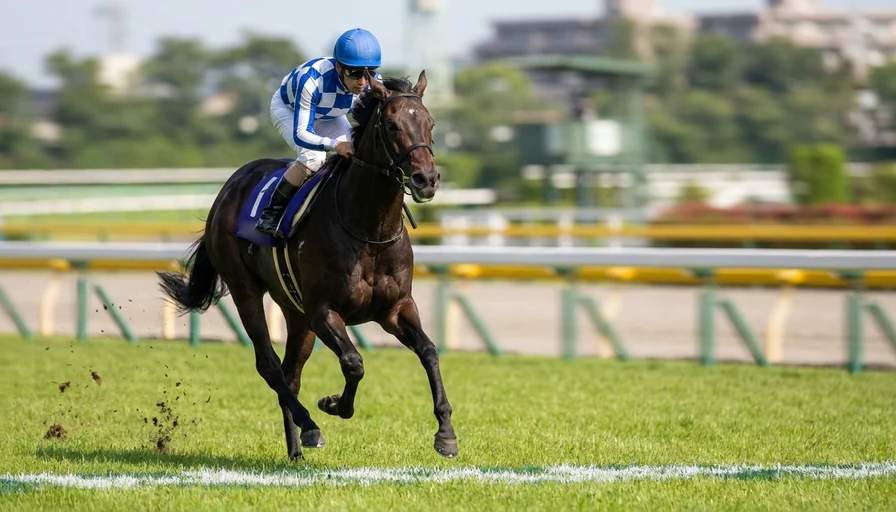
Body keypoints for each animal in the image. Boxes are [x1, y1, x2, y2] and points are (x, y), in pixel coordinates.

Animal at [157, 71, 458, 460]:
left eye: (430, 123)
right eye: (392, 125)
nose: (427, 180)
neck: (369, 228)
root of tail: (229, 187)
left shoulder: (395, 309)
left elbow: (429, 352)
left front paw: (446, 433)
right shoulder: (324, 310)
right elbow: (354, 363)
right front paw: (332, 404)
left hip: (296, 313)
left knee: (290, 375)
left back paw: (296, 449)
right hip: (246, 290)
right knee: (270, 366)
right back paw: (310, 427)